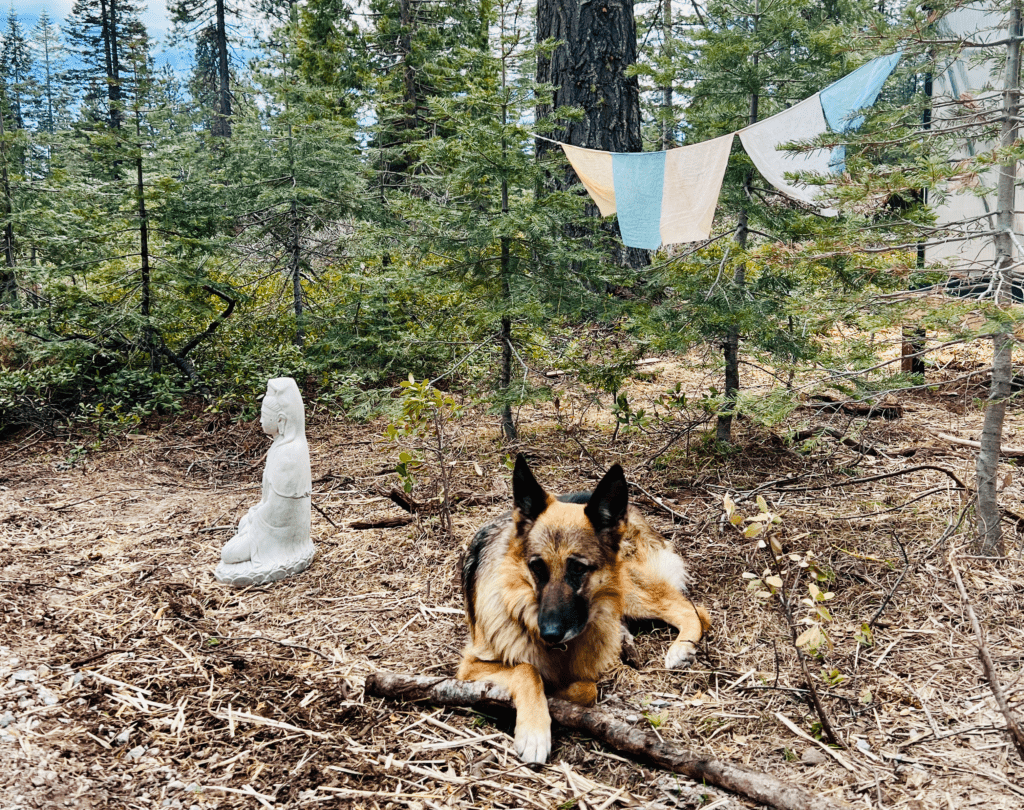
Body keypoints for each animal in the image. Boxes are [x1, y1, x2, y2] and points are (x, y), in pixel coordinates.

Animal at [458, 456, 708, 765]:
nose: (550, 634)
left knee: (693, 609)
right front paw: (535, 730)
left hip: (628, 588)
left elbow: (586, 687)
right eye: (536, 568)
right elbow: (527, 670)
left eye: (578, 568)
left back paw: (681, 648)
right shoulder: (470, 668)